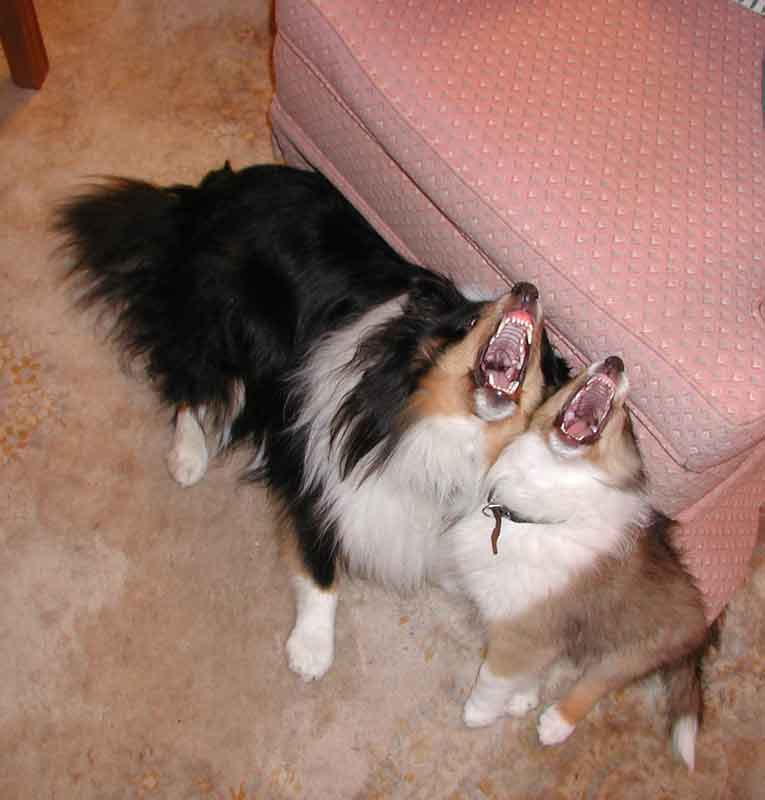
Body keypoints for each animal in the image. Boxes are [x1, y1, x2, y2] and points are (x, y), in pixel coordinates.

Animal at [55, 161, 569, 681]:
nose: (527, 289)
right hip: (225, 322)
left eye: (545, 351)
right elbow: (319, 562)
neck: (449, 425)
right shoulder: (314, 466)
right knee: (191, 379)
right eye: (470, 321)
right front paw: (311, 649)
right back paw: (187, 456)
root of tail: (214, 187)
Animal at [435, 356, 713, 770]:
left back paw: (556, 723)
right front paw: (513, 696)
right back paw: (526, 697)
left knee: (597, 681)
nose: (615, 361)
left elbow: (492, 676)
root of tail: (700, 632)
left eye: (629, 421)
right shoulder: (537, 624)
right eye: (571, 378)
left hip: (634, 651)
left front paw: (477, 714)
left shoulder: (523, 628)